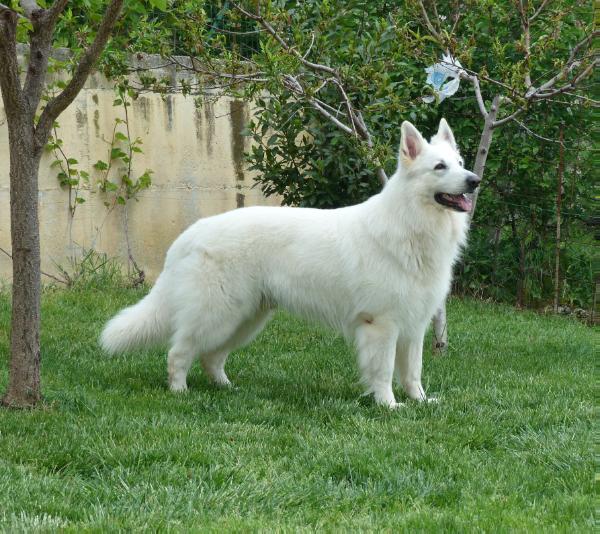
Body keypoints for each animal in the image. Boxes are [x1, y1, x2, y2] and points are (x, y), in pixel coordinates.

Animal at [101, 118, 480, 410]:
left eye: (460, 162)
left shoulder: (413, 326)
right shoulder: (381, 325)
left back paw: (227, 389)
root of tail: (189, 234)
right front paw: (388, 406)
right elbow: (384, 372)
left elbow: (413, 372)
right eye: (440, 167)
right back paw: (179, 392)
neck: (411, 222)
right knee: (179, 352)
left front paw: (420, 402)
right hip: (219, 314)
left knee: (211, 356)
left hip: (245, 319)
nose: (475, 181)